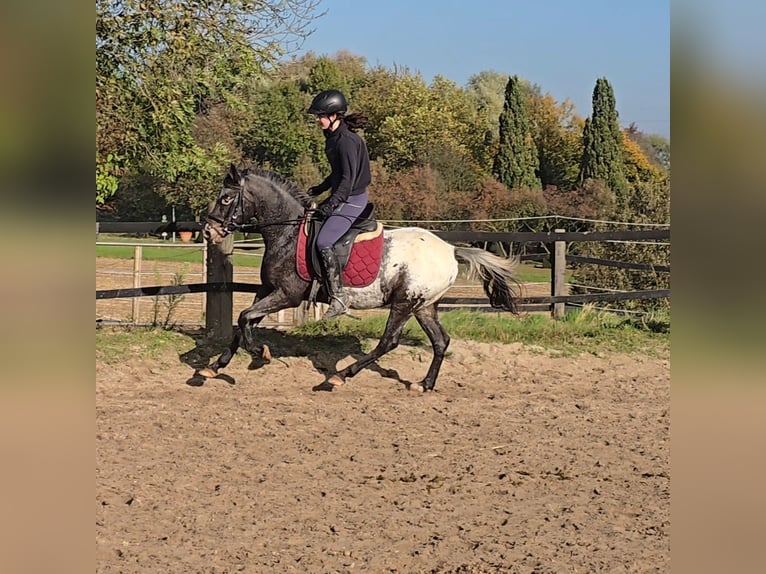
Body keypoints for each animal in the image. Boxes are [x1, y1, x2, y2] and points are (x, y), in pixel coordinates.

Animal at [200, 164, 520, 394]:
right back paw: (424, 384)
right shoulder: (268, 290)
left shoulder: (287, 295)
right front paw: (214, 367)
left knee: (388, 342)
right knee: (440, 341)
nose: (208, 231)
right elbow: (243, 321)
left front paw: (260, 353)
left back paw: (340, 376)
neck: (287, 233)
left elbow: (244, 317)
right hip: (424, 306)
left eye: (226, 198)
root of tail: (451, 250)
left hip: (404, 303)